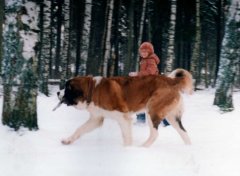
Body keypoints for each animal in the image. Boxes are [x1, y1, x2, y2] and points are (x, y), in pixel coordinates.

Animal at [55, 69, 193, 147]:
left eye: (67, 88)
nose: (57, 92)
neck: (93, 90)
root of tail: (171, 81)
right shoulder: (96, 118)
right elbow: (80, 129)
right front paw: (68, 141)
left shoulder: (123, 118)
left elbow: (126, 137)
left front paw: (126, 150)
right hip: (172, 117)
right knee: (184, 133)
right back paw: (188, 148)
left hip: (152, 110)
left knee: (155, 133)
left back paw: (143, 147)